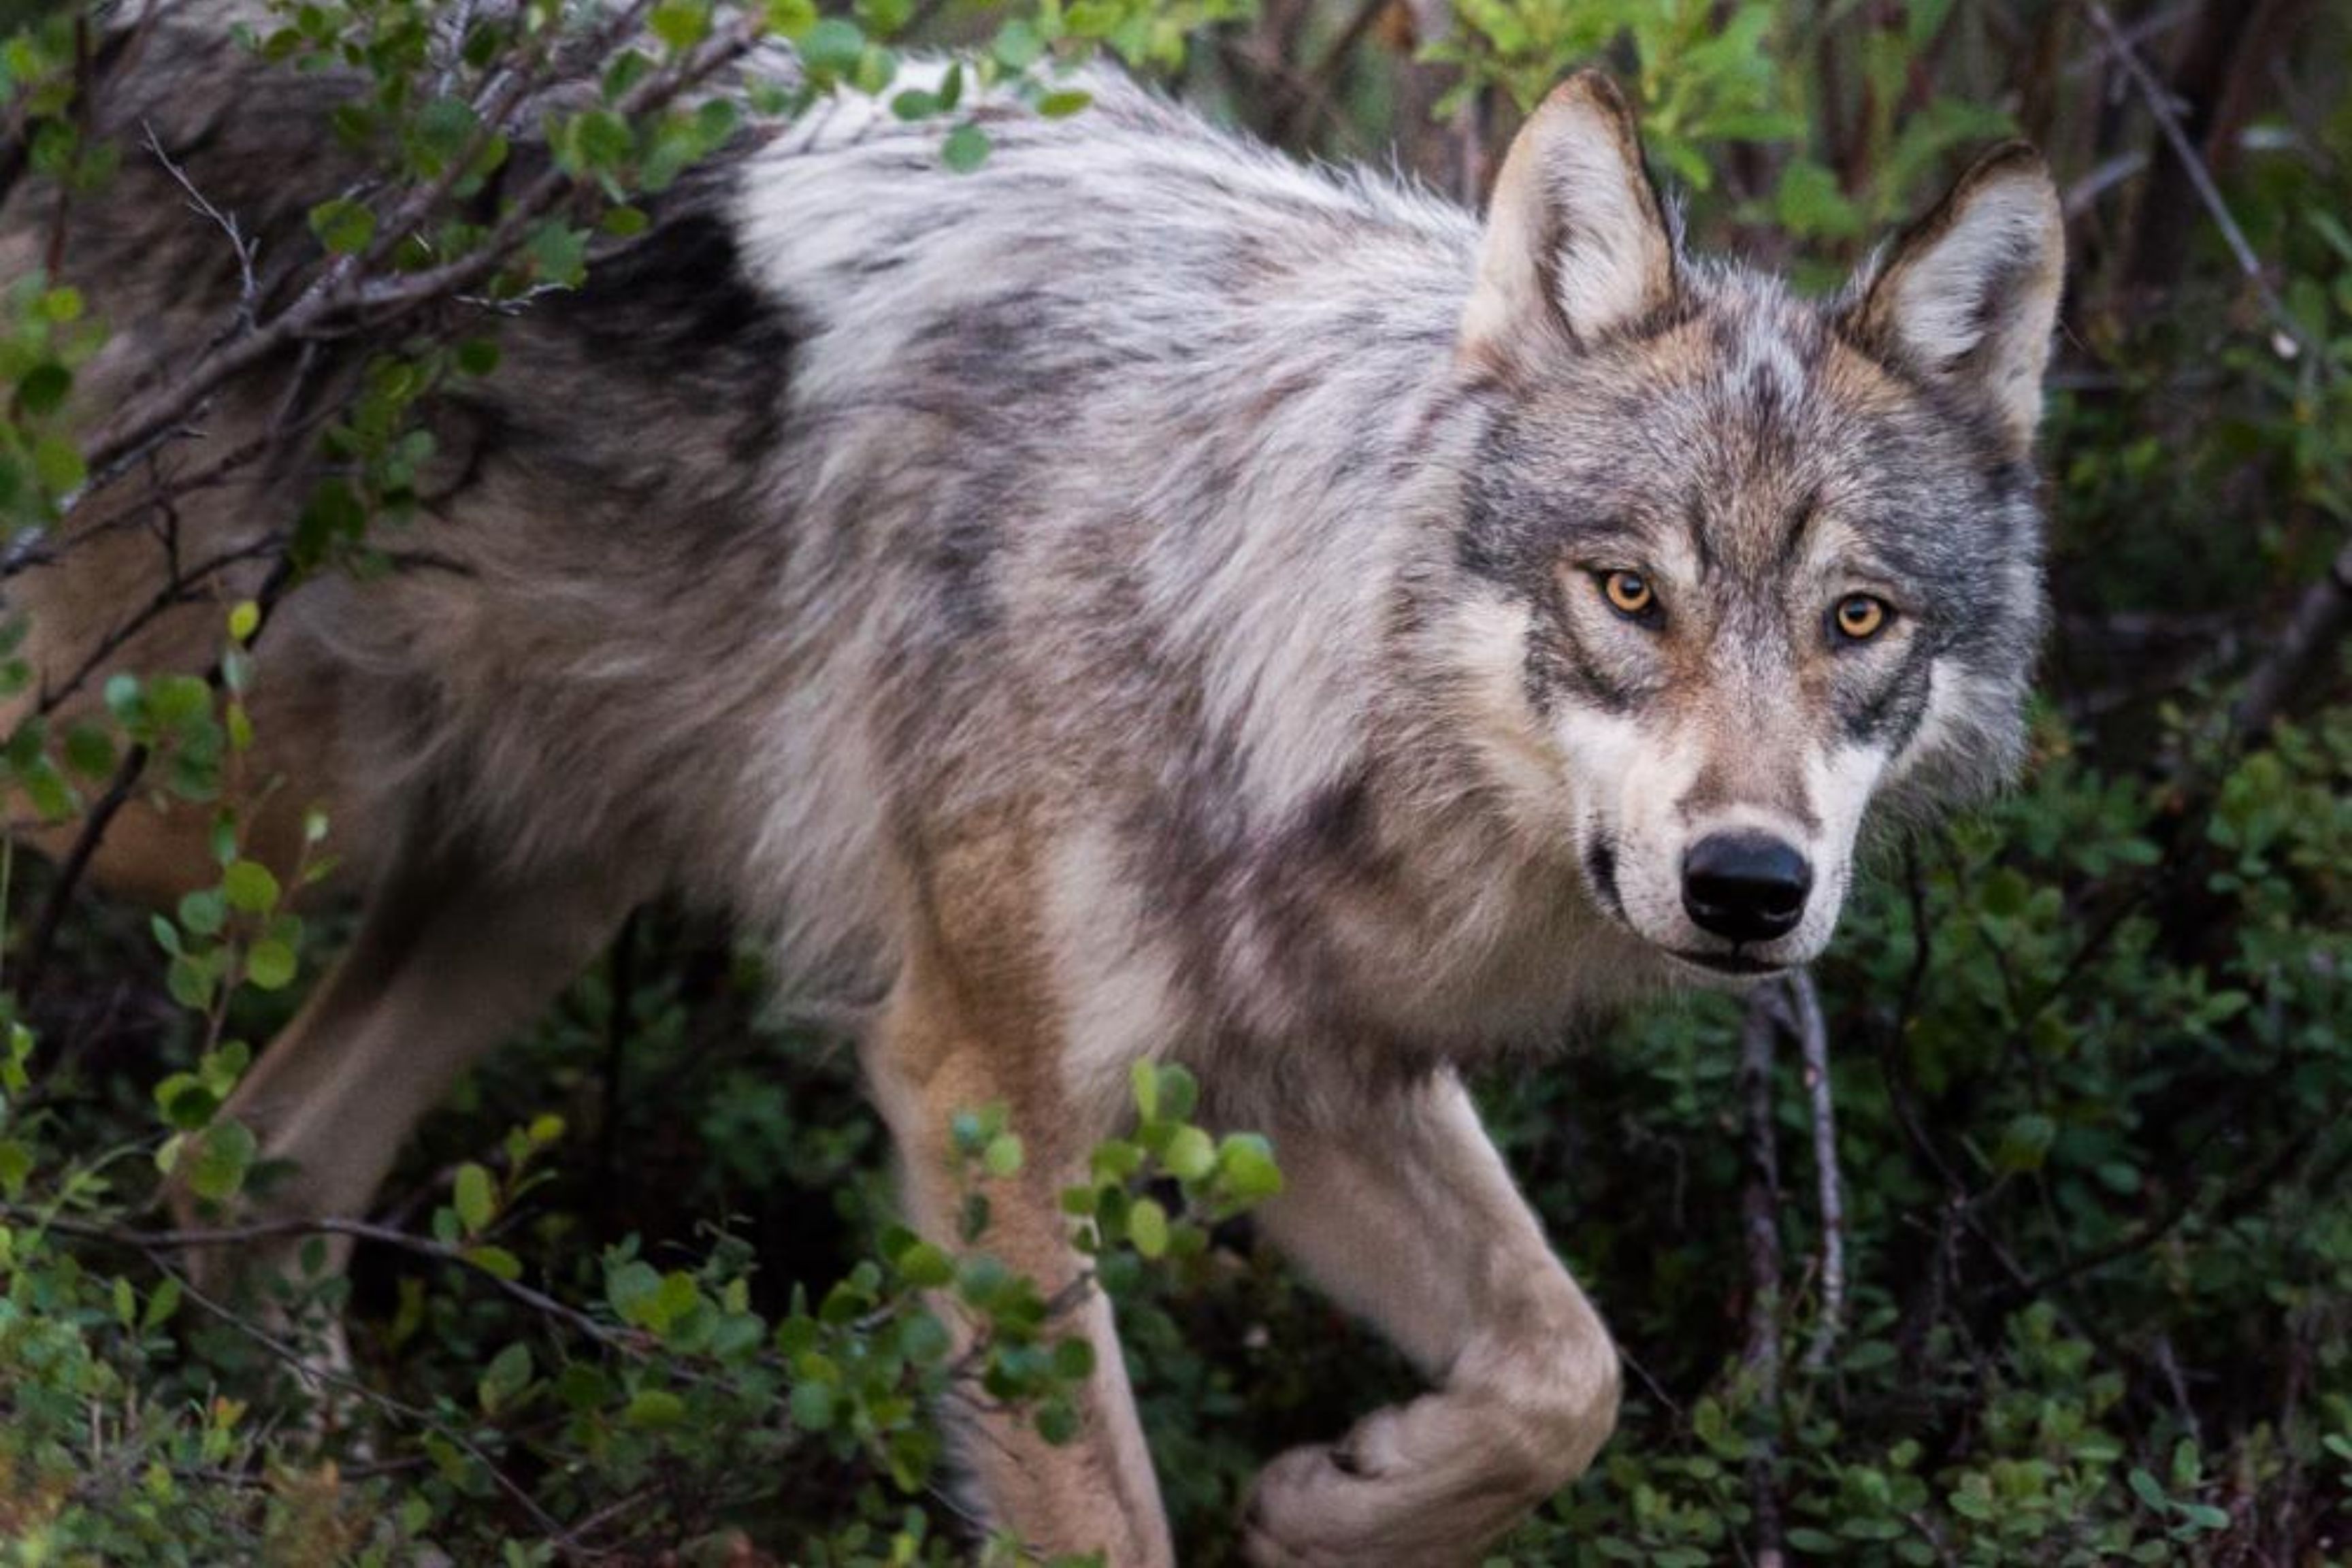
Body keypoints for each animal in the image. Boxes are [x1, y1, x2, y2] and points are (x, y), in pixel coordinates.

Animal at [0, 4, 2063, 1560]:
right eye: (1628, 592)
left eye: (1858, 620)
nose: (1746, 886)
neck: (1244, 604)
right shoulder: (983, 1085)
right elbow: (1105, 1516)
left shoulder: (1301, 1070)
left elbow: (1572, 1374)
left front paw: (1335, 1507)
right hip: (230, 805)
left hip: (531, 882)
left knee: (246, 1163)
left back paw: (330, 1503)